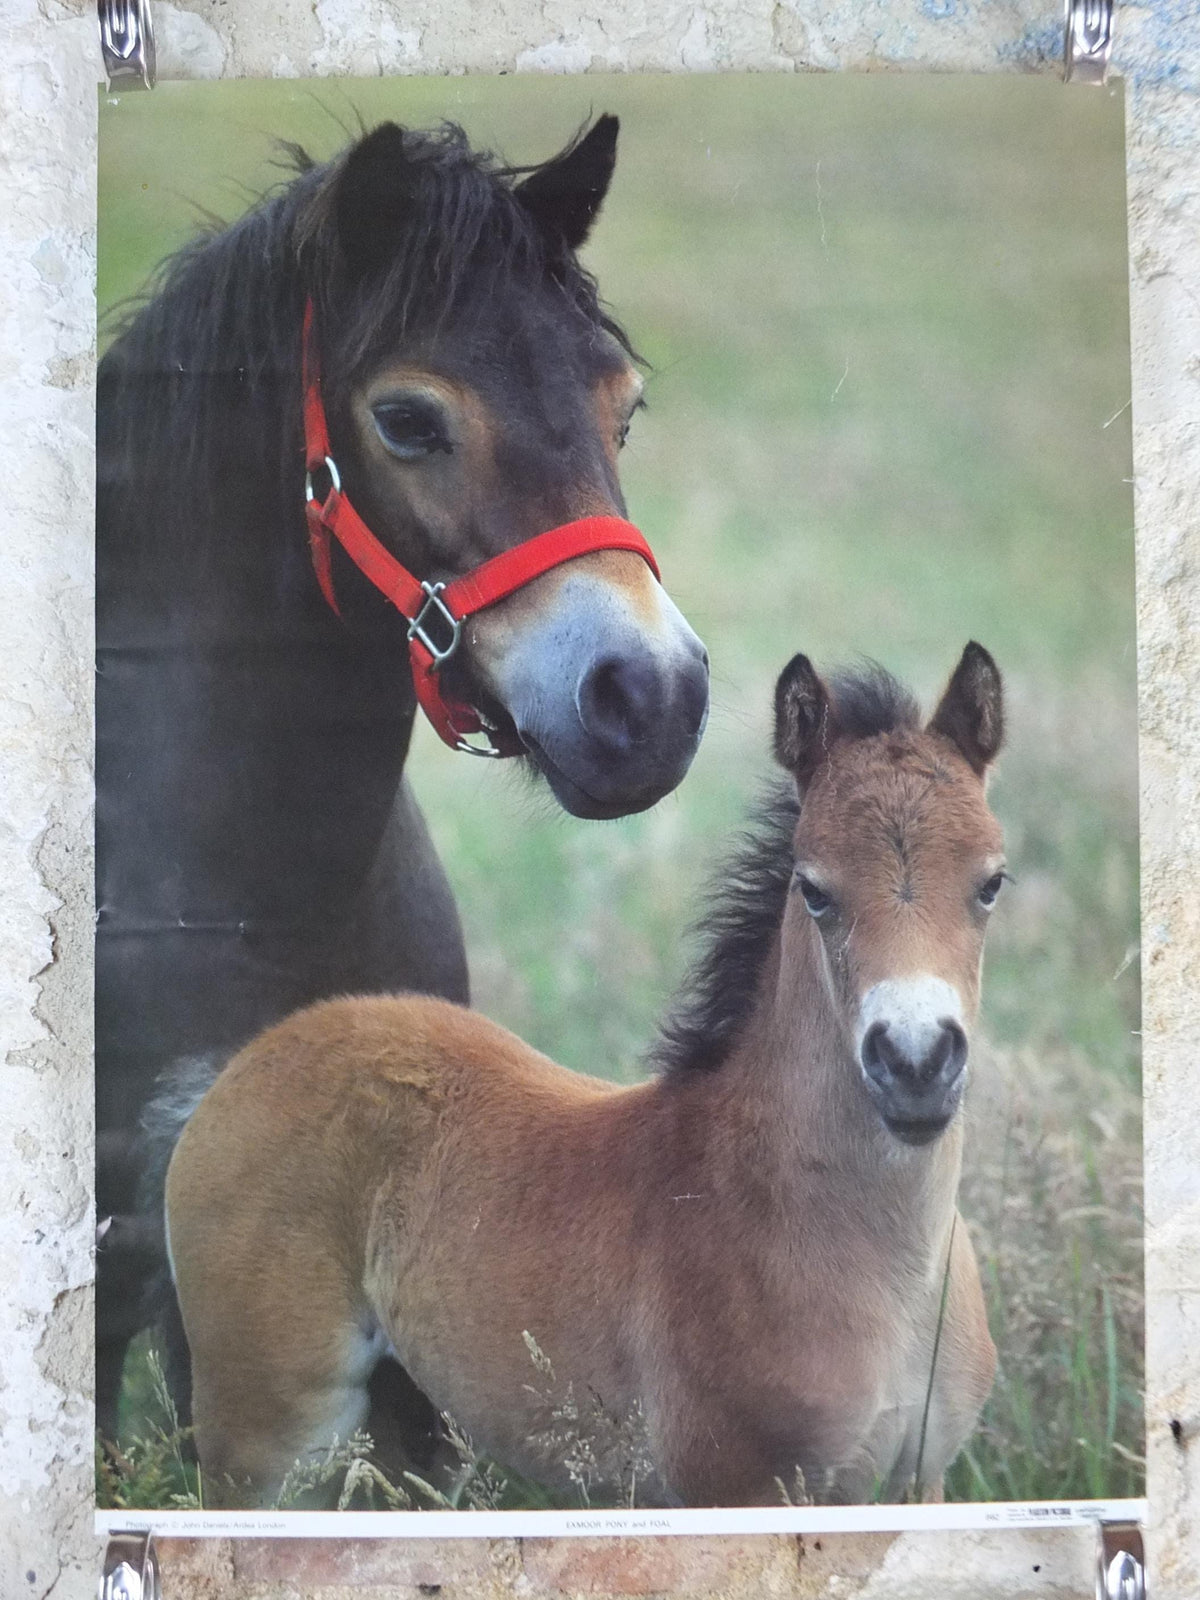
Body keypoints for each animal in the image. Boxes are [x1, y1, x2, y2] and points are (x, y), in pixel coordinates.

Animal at [164, 643, 1005, 1508]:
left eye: (990, 883)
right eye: (813, 889)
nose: (915, 1062)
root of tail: (249, 1061)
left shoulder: (921, 1484)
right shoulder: (735, 1488)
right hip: (268, 1439)